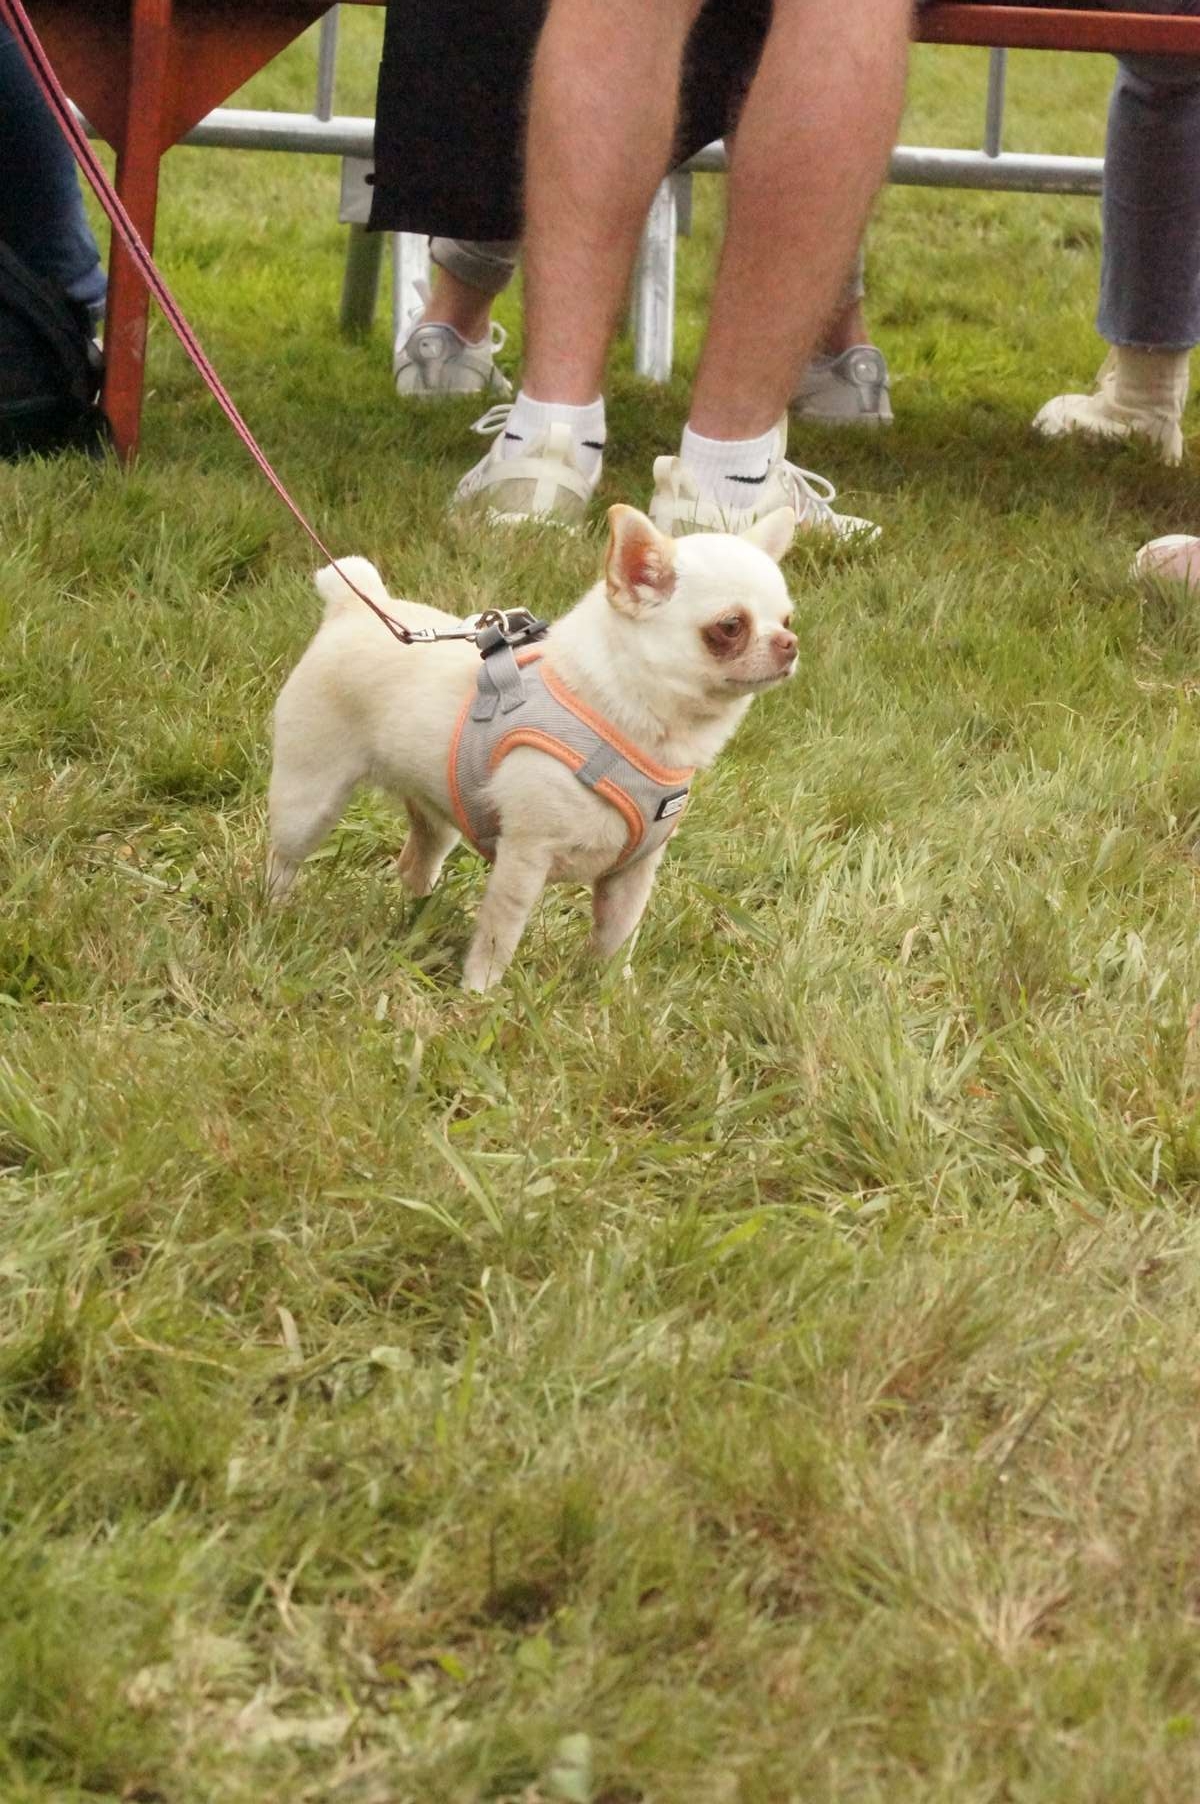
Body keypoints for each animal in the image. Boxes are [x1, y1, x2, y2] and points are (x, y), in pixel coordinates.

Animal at [268, 505, 793, 988]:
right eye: (730, 626)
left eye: (788, 618)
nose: (789, 642)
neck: (630, 723)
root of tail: (355, 605)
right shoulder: (525, 857)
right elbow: (500, 934)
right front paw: (479, 994)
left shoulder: (632, 873)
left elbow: (617, 937)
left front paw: (614, 997)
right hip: (308, 800)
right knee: (285, 858)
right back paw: (274, 913)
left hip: (436, 817)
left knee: (415, 861)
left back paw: (417, 919)